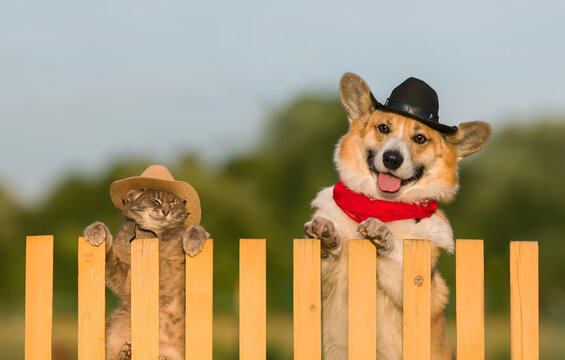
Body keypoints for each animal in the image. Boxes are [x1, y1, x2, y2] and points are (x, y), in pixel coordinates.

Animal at [82, 188, 208, 360]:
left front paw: (193, 241)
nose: (166, 211)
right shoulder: (123, 275)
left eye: (172, 203)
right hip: (118, 322)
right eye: (156, 201)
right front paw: (95, 230)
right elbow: (109, 255)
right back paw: (126, 354)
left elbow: (197, 229)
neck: (153, 235)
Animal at [304, 73, 490, 360]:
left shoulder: (414, 285)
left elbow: (397, 259)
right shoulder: (322, 289)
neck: (379, 204)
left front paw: (383, 234)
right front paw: (325, 234)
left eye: (420, 139)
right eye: (383, 128)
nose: (392, 159)